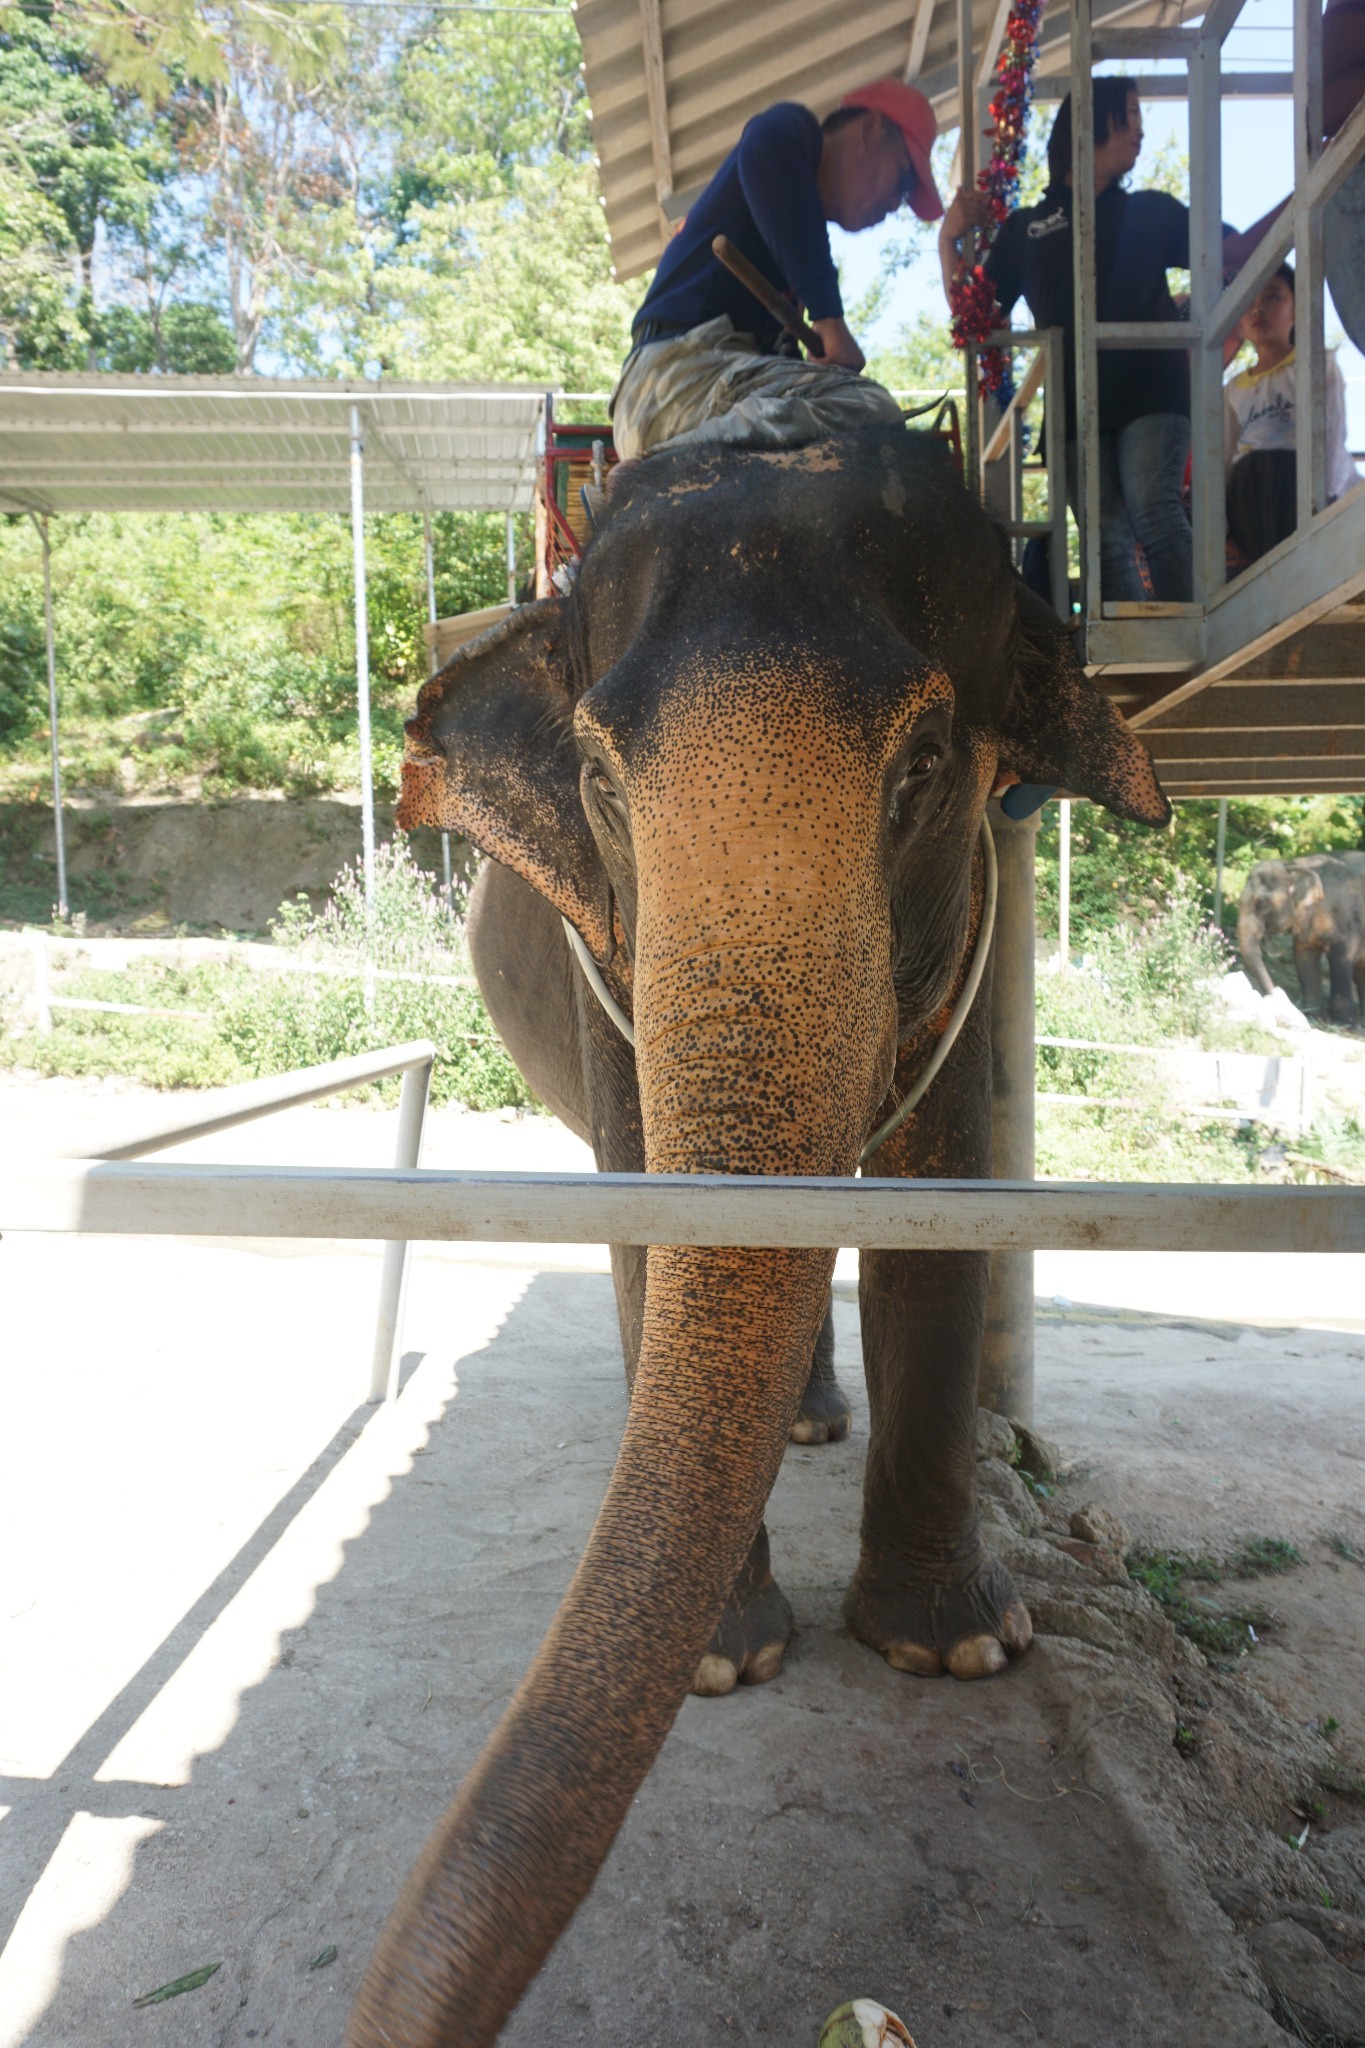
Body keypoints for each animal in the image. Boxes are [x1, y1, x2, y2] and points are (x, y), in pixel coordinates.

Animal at [347, 423, 1170, 2039]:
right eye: (600, 783)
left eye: (925, 765)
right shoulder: (603, 959)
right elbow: (646, 1203)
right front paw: (730, 1668)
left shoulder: (970, 923)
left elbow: (936, 1211)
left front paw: (955, 1649)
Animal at [1236, 851, 1365, 1024]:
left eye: (1261, 903)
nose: (1276, 995)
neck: (1293, 864)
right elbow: (1304, 959)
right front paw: (1313, 1017)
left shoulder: (1349, 921)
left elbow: (1340, 960)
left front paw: (1343, 1024)